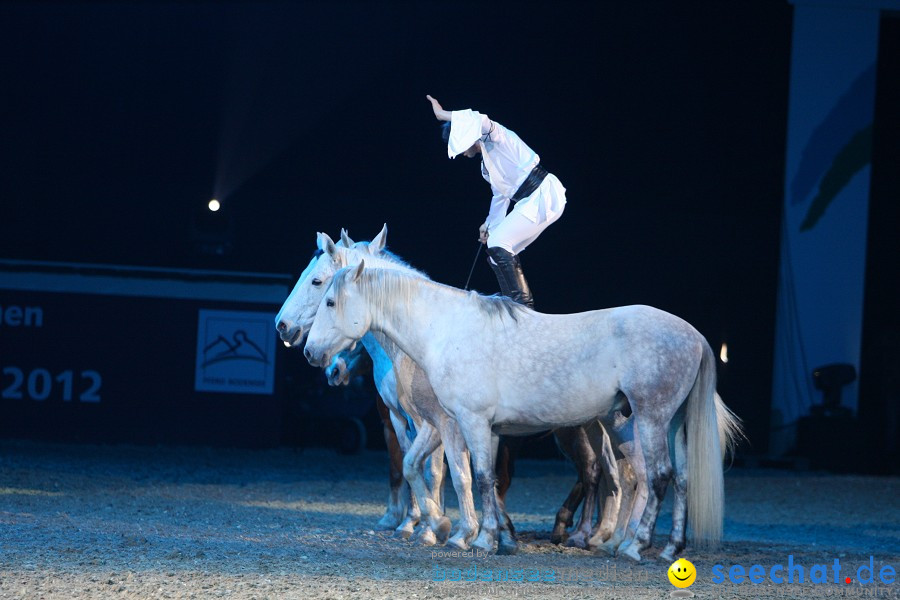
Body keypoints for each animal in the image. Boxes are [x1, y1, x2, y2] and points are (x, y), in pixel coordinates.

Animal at [306, 264, 740, 560]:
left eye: (329, 300)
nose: (311, 353)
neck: (447, 329)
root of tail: (694, 335)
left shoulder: (470, 422)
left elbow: (479, 479)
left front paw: (480, 538)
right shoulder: (473, 427)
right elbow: (477, 479)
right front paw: (489, 535)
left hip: (648, 420)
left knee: (657, 476)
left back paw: (633, 545)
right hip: (673, 422)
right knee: (679, 479)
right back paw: (667, 549)